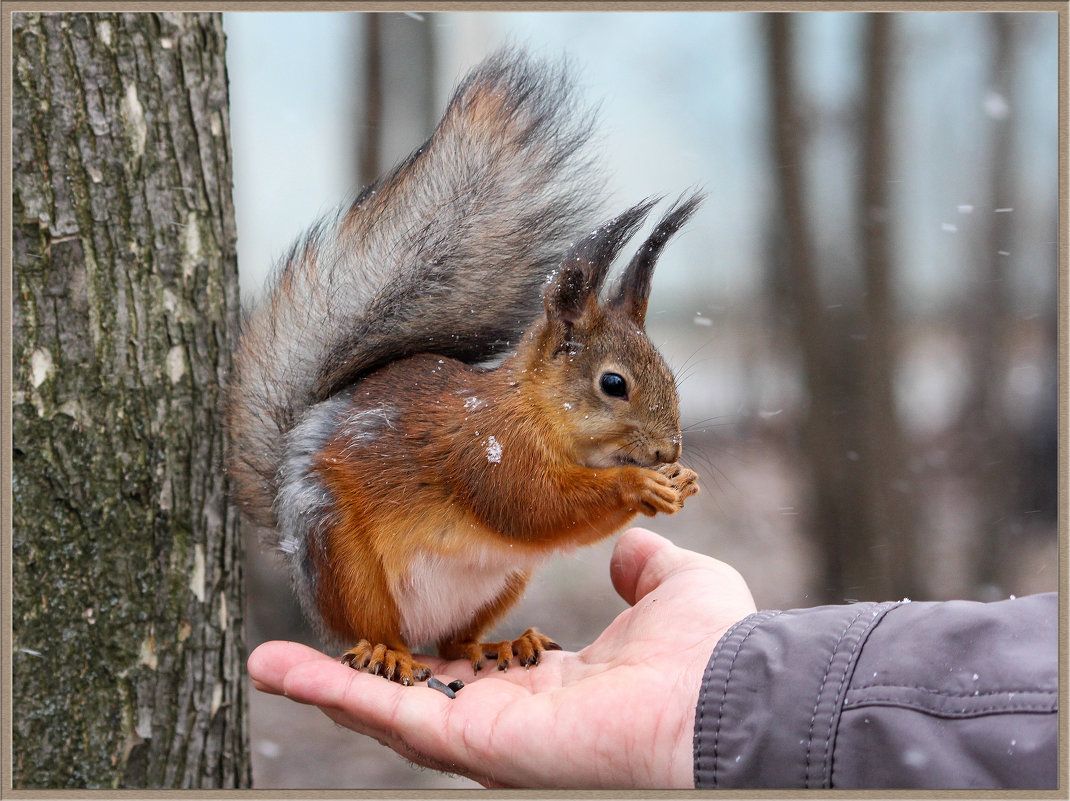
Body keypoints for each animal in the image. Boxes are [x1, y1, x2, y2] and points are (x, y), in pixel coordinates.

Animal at [225, 48, 701, 688]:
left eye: (669, 375)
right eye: (613, 384)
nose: (668, 451)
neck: (535, 412)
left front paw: (683, 481)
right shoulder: (485, 450)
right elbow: (533, 507)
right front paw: (637, 484)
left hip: (501, 582)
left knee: (453, 641)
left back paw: (500, 646)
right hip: (344, 558)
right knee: (373, 629)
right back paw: (389, 654)